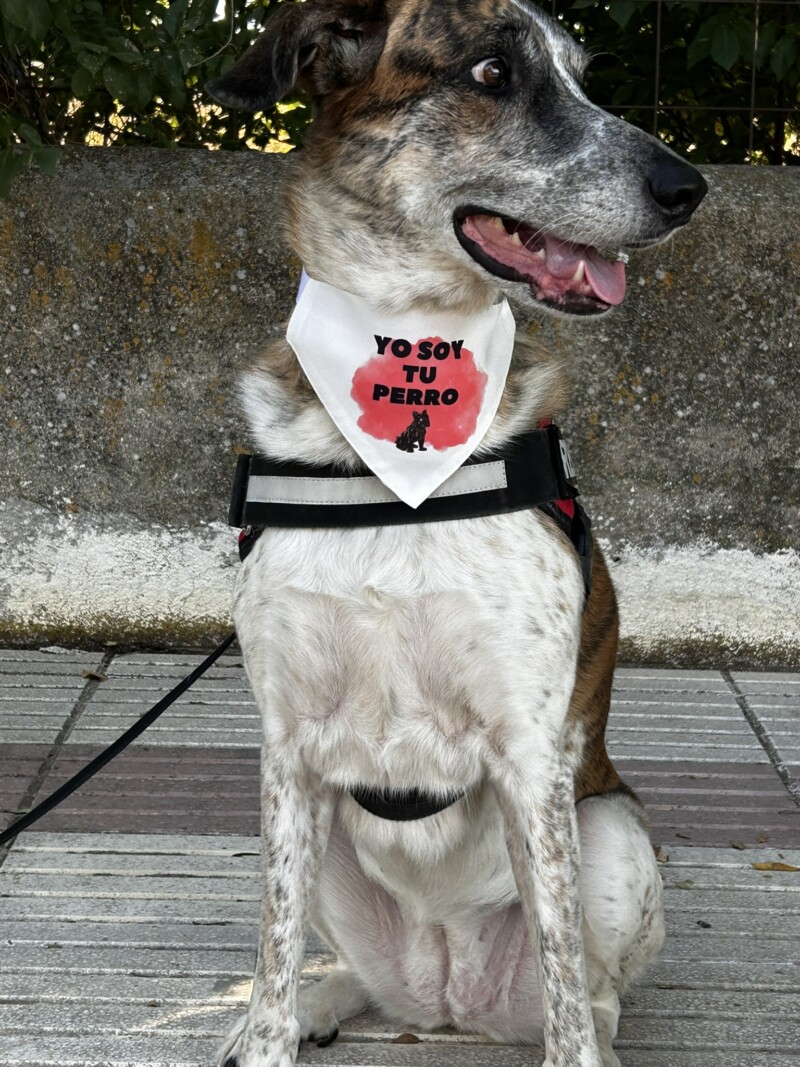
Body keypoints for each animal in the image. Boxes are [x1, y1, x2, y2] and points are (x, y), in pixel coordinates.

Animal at [208, 2, 708, 1067]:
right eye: (491, 73)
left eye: (584, 74)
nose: (688, 188)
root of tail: (447, 1000)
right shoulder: (287, 750)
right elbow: (270, 947)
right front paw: (271, 1026)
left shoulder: (530, 754)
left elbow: (565, 983)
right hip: (325, 838)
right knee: (329, 968)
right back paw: (319, 1002)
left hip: (612, 830)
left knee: (596, 994)